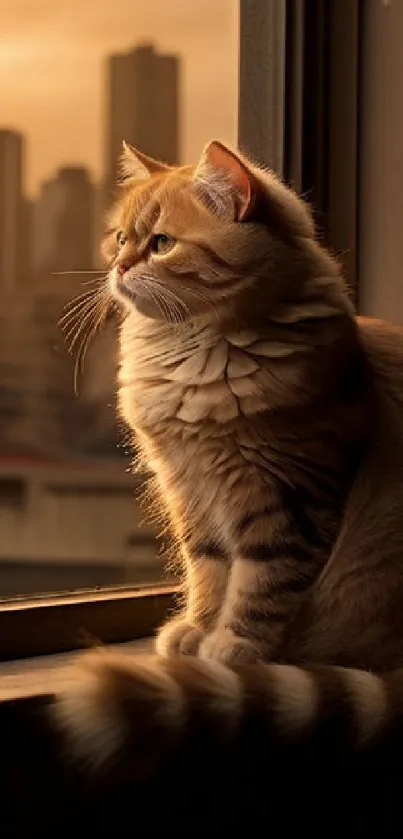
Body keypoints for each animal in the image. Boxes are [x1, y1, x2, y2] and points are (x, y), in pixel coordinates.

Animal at [52, 138, 403, 776]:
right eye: (120, 238)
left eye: (161, 244)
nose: (119, 267)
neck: (194, 355)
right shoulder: (192, 490)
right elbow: (210, 571)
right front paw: (197, 630)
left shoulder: (290, 497)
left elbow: (261, 581)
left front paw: (236, 645)